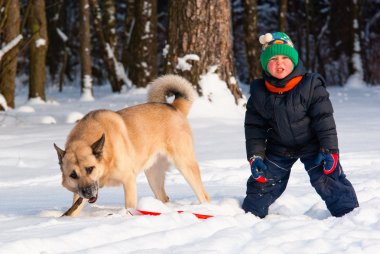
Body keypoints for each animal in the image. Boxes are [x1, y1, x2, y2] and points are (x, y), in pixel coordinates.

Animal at [53, 74, 209, 215]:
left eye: (90, 169)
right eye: (73, 175)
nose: (87, 192)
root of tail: (174, 106)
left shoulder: (128, 180)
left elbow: (130, 207)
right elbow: (75, 208)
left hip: (185, 165)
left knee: (204, 196)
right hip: (153, 174)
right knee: (163, 198)